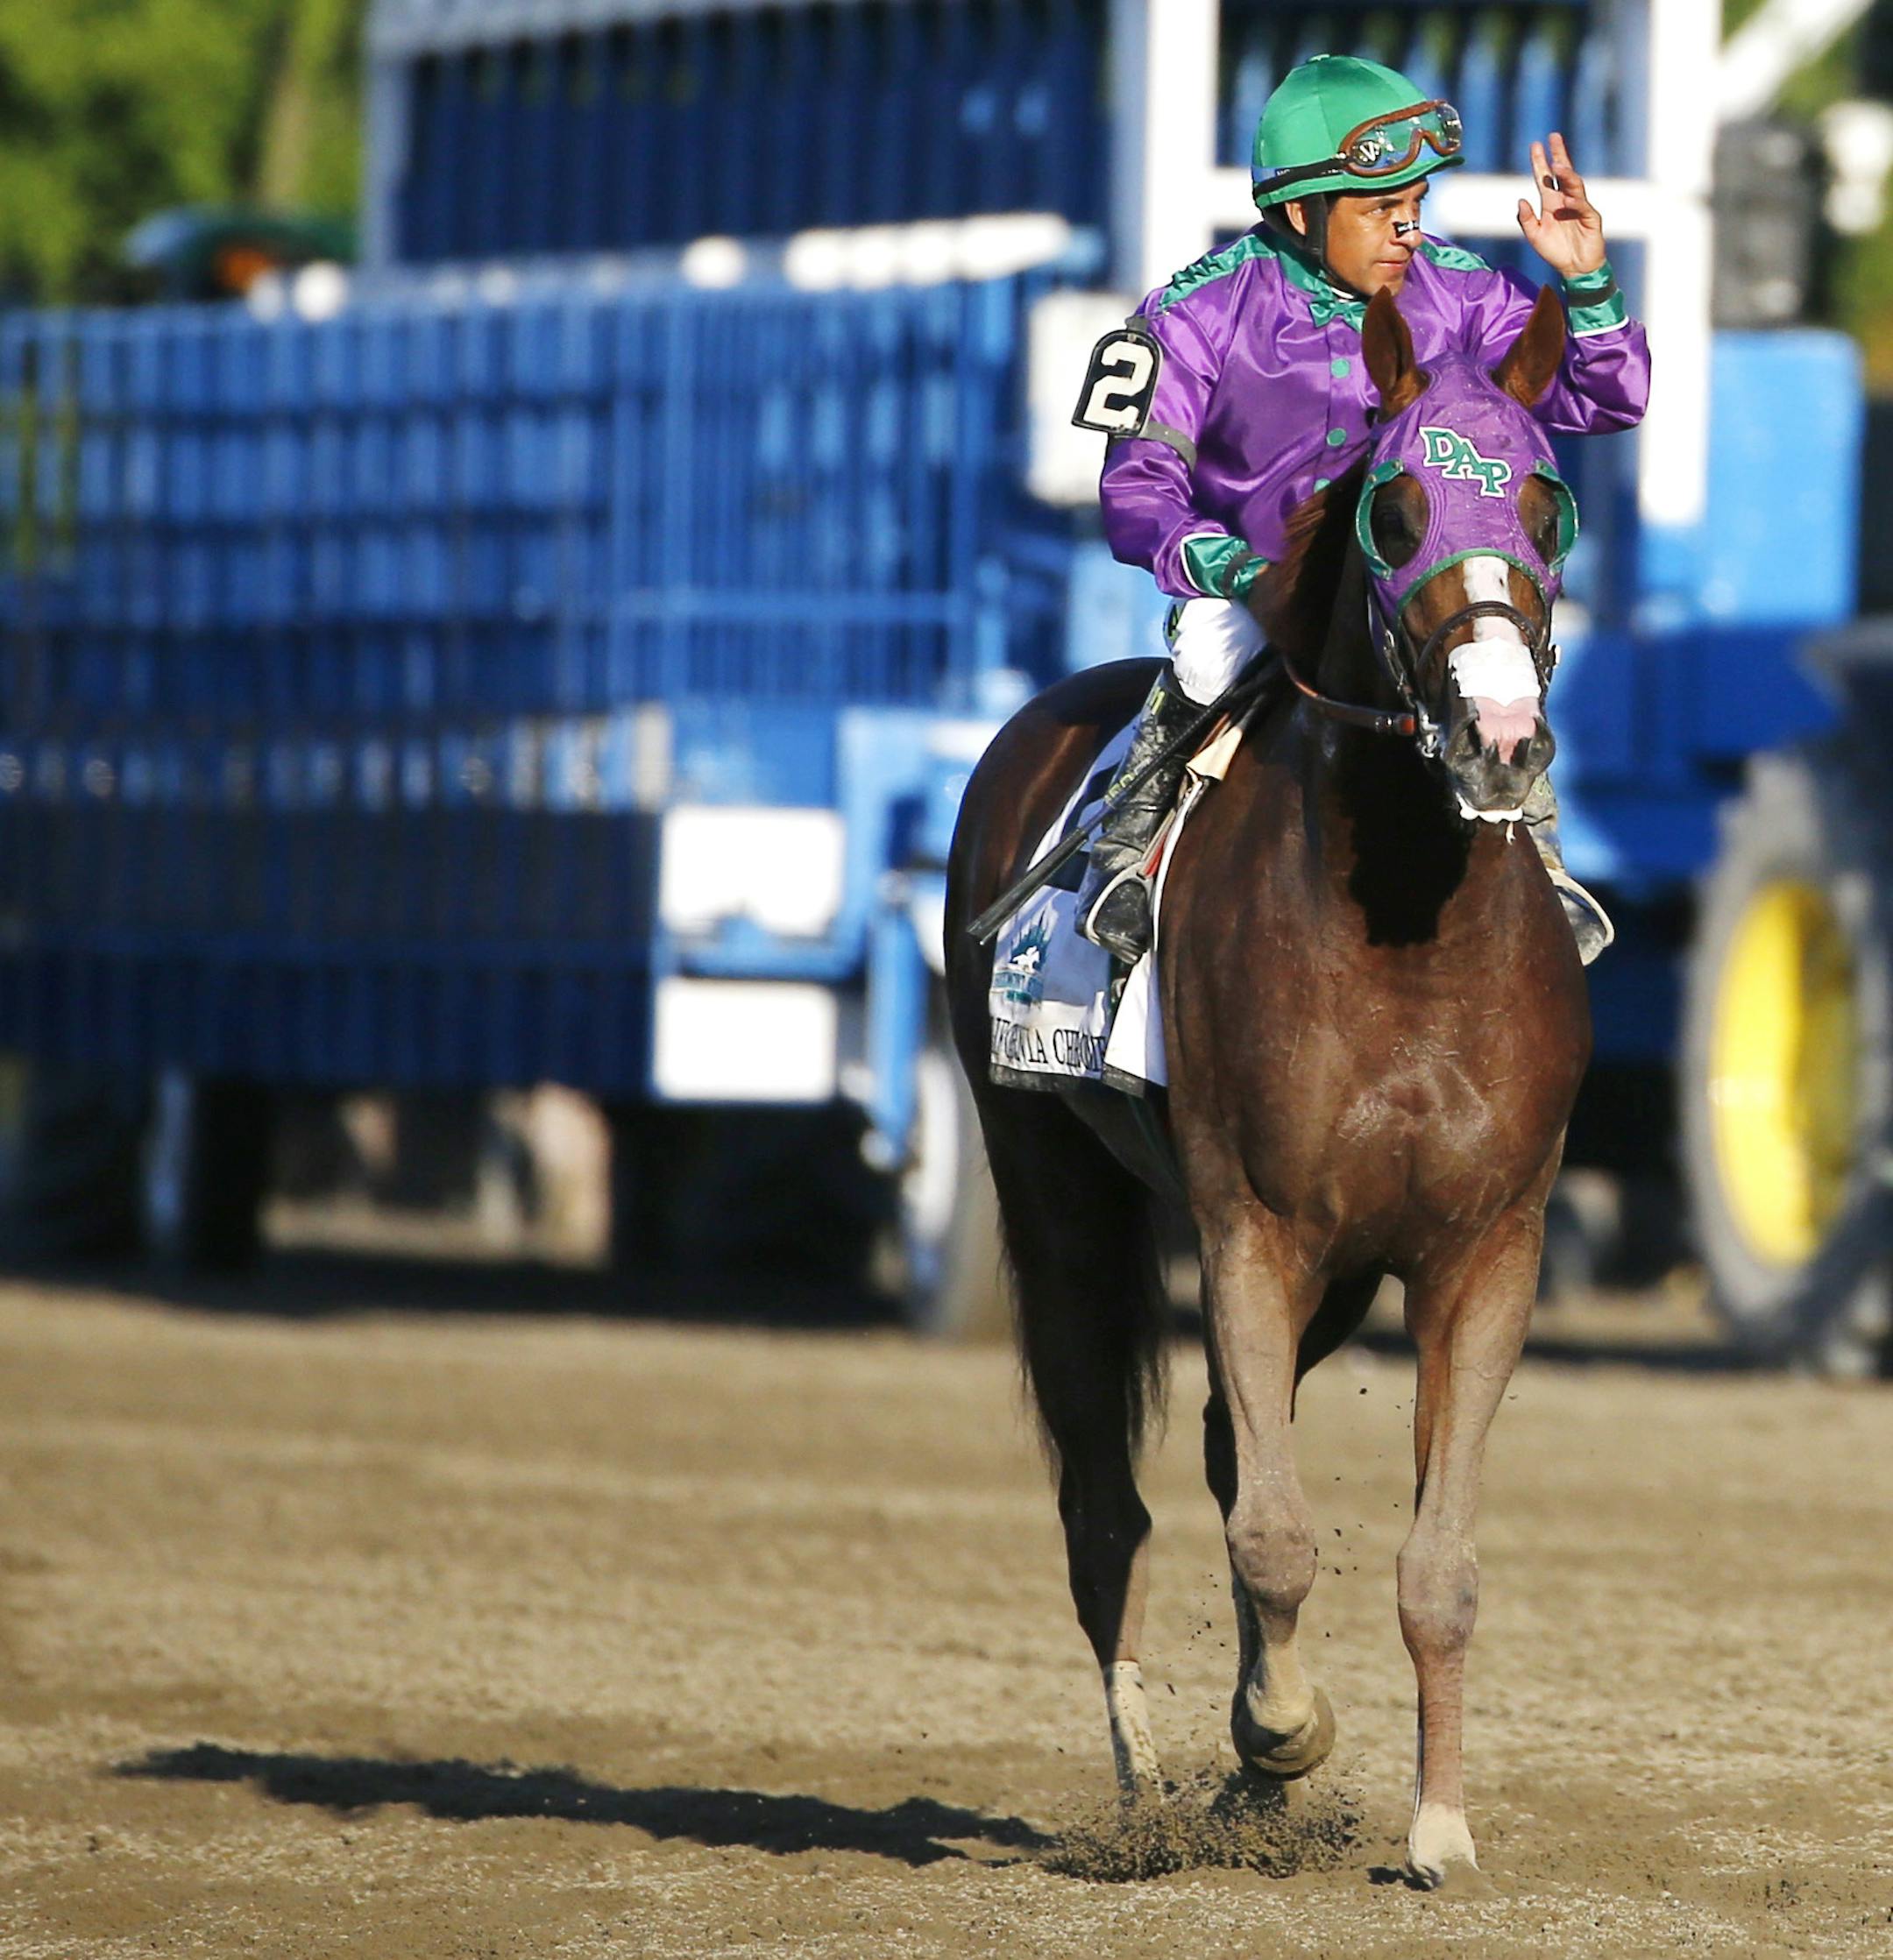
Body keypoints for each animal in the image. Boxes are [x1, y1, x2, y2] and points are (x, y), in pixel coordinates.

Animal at [942, 285, 1591, 1889]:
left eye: (1546, 498)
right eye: (1395, 508)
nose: (1500, 740)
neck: (1407, 927)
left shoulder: (1482, 1248)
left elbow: (1434, 1562)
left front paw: (1435, 1826)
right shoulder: (1251, 1224)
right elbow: (1273, 1536)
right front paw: (1285, 1732)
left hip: (1340, 1274)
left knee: (1237, 1454)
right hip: (1055, 1190)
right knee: (1104, 1502)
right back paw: (1151, 1782)